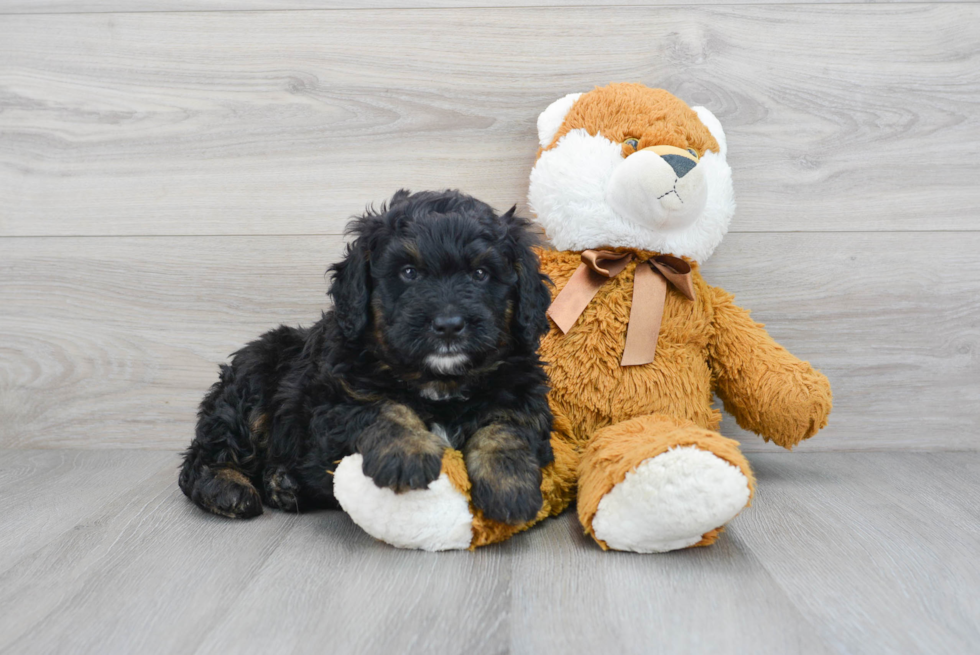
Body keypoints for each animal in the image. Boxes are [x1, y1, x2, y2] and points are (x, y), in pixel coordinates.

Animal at [180, 191, 556, 528]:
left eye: (480, 274)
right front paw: (409, 454)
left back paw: (284, 484)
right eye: (408, 272)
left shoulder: (521, 395)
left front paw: (510, 486)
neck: (438, 380)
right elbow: (385, 407)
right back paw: (227, 488)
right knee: (204, 455)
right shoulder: (339, 398)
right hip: (252, 381)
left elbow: (506, 428)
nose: (448, 325)